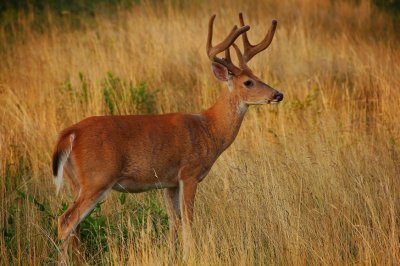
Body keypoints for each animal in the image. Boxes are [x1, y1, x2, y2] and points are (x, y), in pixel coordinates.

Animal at [53, 13, 282, 264]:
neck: (209, 129)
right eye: (248, 82)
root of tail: (69, 134)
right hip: (97, 179)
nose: (278, 94)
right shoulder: (189, 173)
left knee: (75, 227)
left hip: (76, 182)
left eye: (257, 76)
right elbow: (188, 221)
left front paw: (174, 255)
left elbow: (174, 221)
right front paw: (190, 255)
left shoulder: (168, 182)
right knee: (65, 222)